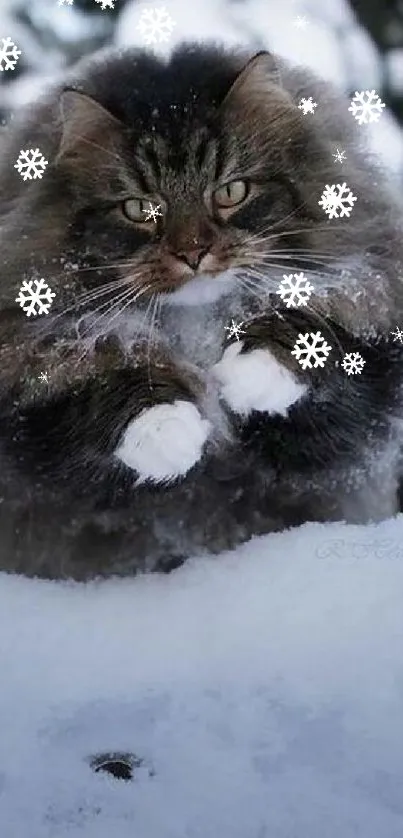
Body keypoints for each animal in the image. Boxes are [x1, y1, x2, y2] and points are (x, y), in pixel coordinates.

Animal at [0, 42, 403, 580]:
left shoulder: (361, 383)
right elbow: (109, 382)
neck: (196, 327)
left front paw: (250, 373)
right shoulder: (36, 404)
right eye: (138, 209)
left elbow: (310, 338)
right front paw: (174, 431)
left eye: (231, 192)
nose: (193, 252)